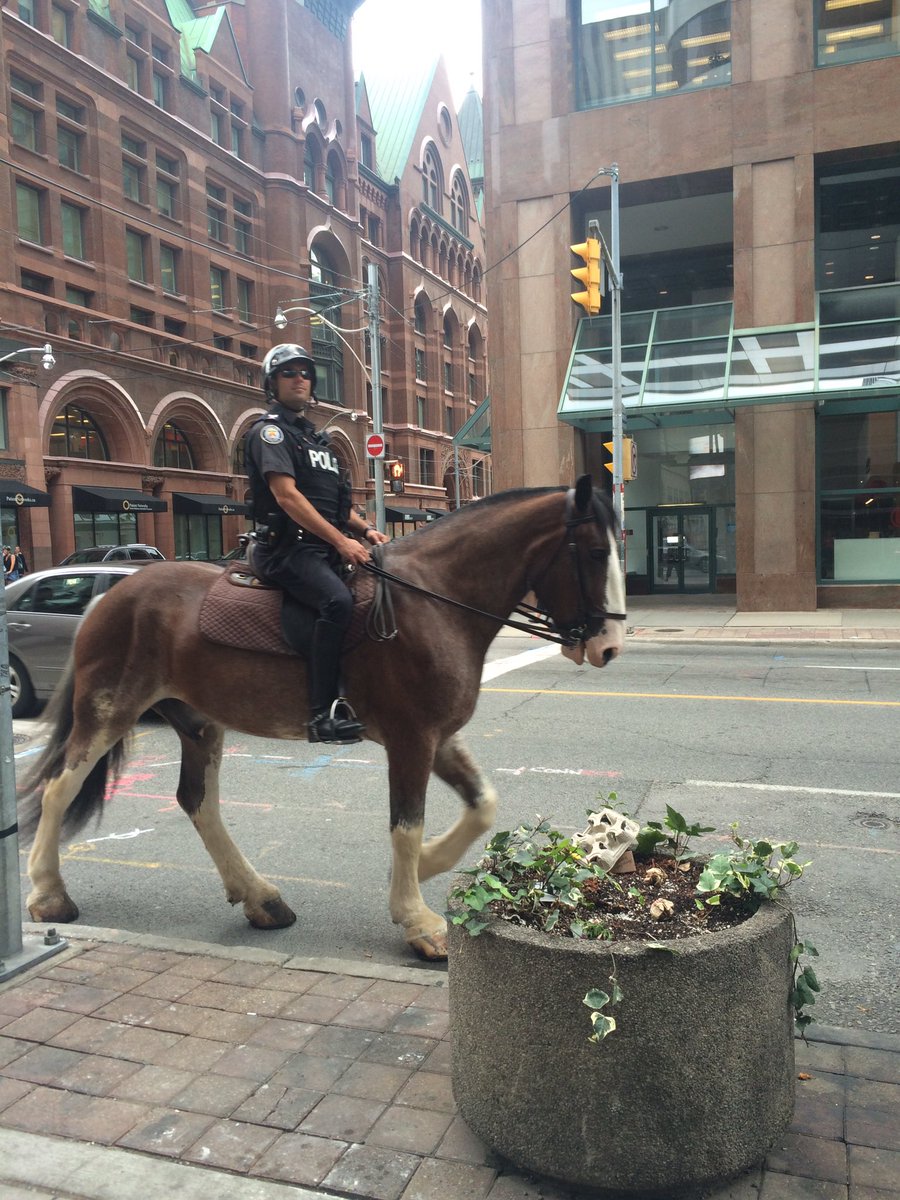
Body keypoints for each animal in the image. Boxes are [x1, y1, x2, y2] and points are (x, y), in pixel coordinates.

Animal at [18, 476, 625, 961]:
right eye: (596, 552)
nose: (611, 647)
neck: (434, 602)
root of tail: (110, 594)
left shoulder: (438, 736)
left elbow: (482, 806)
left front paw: (427, 866)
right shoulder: (411, 738)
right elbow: (407, 823)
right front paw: (418, 918)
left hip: (198, 723)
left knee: (197, 801)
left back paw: (261, 897)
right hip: (109, 708)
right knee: (59, 787)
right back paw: (47, 895)